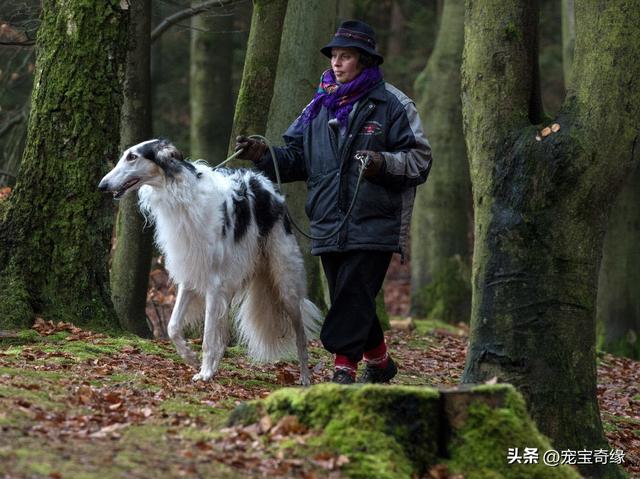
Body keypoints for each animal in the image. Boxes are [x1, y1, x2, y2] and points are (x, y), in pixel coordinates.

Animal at [99, 139, 322, 386]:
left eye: (132, 157)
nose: (102, 185)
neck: (181, 195)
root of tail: (269, 187)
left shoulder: (214, 284)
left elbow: (206, 337)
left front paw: (203, 372)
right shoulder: (190, 276)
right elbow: (173, 326)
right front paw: (191, 358)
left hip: (285, 283)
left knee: (301, 335)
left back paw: (305, 378)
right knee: (223, 336)